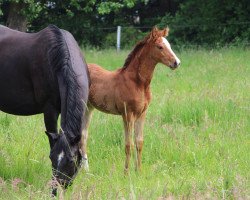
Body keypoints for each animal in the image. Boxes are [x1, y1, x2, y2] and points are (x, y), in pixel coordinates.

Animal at [81, 26, 181, 173]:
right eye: (160, 47)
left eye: (169, 45)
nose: (176, 62)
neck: (138, 83)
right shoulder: (128, 114)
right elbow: (129, 144)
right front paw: (126, 172)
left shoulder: (142, 114)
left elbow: (139, 142)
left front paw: (138, 171)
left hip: (89, 108)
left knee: (83, 136)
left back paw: (86, 170)